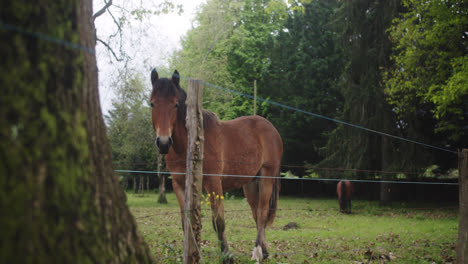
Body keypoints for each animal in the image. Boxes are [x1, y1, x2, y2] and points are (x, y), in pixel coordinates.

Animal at [150, 69, 284, 262]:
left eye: (175, 105)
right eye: (152, 104)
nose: (163, 143)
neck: (191, 144)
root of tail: (271, 129)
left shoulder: (213, 184)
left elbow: (219, 222)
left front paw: (227, 256)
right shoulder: (179, 185)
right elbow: (186, 223)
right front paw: (190, 254)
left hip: (267, 176)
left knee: (262, 213)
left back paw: (257, 252)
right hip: (251, 183)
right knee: (256, 215)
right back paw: (263, 252)